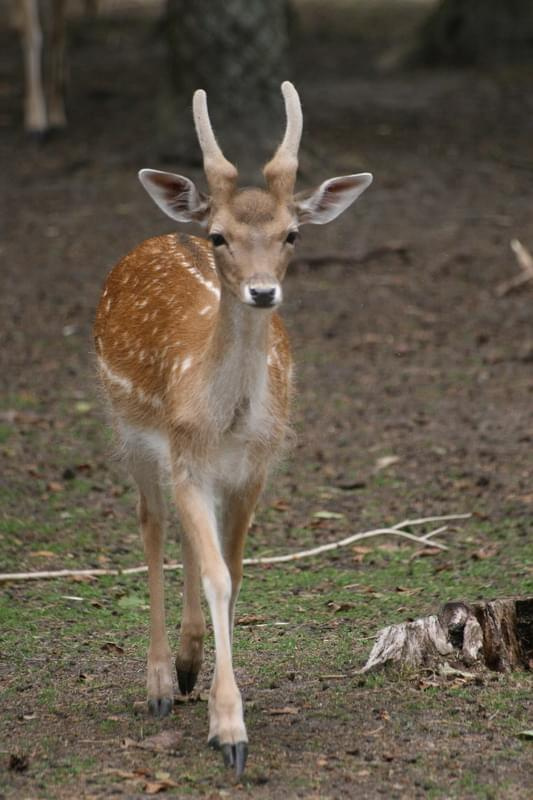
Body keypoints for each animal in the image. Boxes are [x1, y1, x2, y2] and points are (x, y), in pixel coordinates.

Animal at [93, 81, 372, 776]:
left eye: (292, 233)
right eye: (219, 236)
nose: (262, 291)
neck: (226, 420)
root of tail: (162, 234)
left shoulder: (253, 469)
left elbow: (234, 571)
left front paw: (217, 697)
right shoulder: (185, 454)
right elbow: (217, 573)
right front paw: (229, 731)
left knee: (190, 539)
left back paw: (188, 664)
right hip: (130, 429)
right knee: (152, 522)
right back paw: (160, 683)